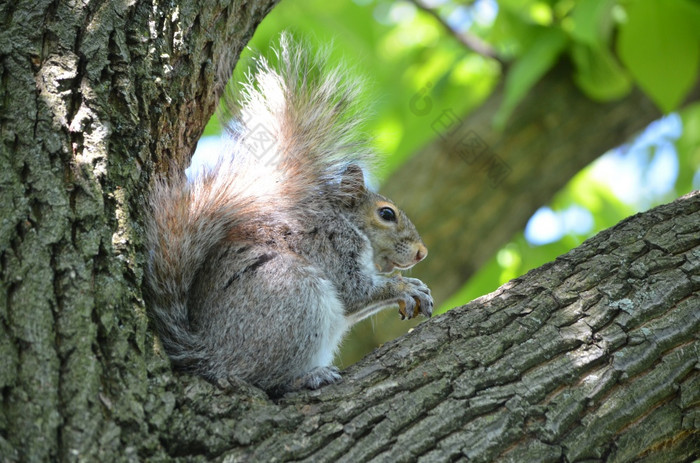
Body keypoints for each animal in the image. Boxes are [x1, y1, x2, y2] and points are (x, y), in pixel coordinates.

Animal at [146, 33, 432, 396]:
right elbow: (355, 292)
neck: (347, 224)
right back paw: (307, 376)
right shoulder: (334, 247)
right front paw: (405, 288)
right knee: (264, 380)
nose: (422, 252)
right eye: (386, 214)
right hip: (294, 298)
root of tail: (210, 355)